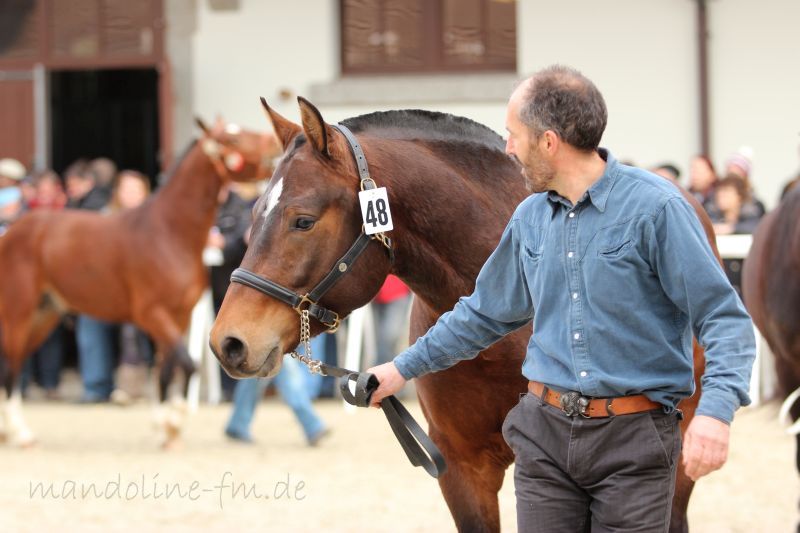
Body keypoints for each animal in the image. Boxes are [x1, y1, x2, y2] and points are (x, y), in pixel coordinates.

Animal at [0, 118, 278, 446]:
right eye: (232, 140)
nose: (274, 143)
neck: (169, 232)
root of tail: (11, 231)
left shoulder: (179, 317)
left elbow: (166, 370)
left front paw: (165, 429)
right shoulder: (153, 314)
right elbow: (187, 363)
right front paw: (173, 422)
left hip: (45, 315)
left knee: (15, 363)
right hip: (19, 312)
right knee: (11, 366)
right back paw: (19, 433)